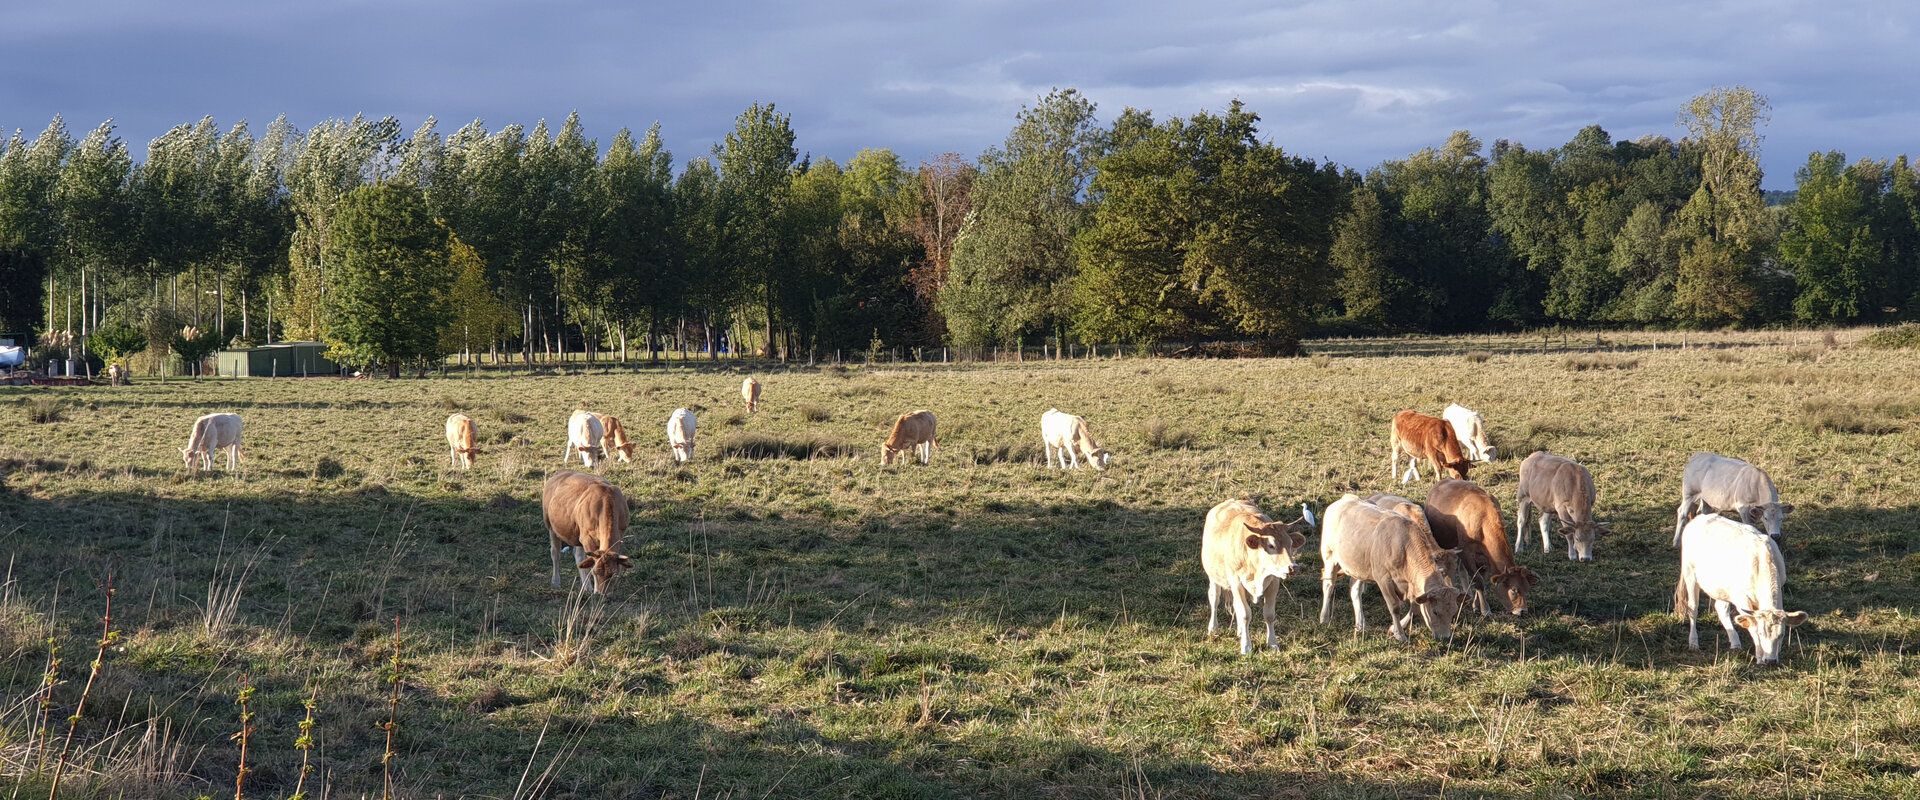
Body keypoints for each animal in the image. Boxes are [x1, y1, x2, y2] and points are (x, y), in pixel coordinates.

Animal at [1190, 498, 1313, 656]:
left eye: (1291, 543)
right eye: (1271, 545)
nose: (1293, 567)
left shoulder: (1274, 581)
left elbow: (1268, 614)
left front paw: (1272, 643)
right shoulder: (1236, 582)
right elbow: (1245, 613)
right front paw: (1246, 646)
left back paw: (1240, 631)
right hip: (1214, 577)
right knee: (1214, 599)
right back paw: (1213, 628)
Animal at [1320, 491, 1466, 640]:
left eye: (1453, 612)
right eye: (1435, 612)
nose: (1445, 637)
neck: (1404, 547)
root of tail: (1345, 498)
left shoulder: (1413, 585)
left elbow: (1415, 608)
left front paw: (1397, 627)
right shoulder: (1383, 579)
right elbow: (1394, 607)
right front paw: (1399, 634)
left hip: (1359, 566)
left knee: (1355, 590)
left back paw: (1360, 624)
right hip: (1329, 555)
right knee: (1329, 585)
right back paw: (1324, 618)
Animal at [1428, 477, 1543, 613]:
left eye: (1526, 589)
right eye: (1514, 590)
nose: (1522, 610)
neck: (1483, 519)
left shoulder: (1484, 558)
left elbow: (1480, 578)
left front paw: (1476, 604)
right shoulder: (1466, 552)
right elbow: (1478, 580)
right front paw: (1485, 609)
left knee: (1461, 570)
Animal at [1674, 510, 1804, 659]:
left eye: (1781, 635)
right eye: (1761, 634)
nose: (1770, 661)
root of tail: (1698, 518)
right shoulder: (1741, 598)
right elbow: (1752, 626)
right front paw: (1760, 656)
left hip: (1723, 587)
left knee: (1721, 608)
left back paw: (1735, 643)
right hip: (1690, 574)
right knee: (1693, 608)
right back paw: (1693, 642)